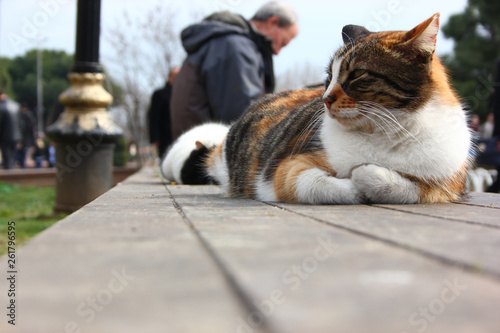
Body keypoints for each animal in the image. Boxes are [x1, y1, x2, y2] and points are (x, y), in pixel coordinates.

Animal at [163, 13, 472, 204]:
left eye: (357, 74)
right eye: (329, 76)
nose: (324, 97)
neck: (386, 132)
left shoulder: (447, 185)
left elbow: (400, 183)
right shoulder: (287, 169)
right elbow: (319, 184)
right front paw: (355, 186)